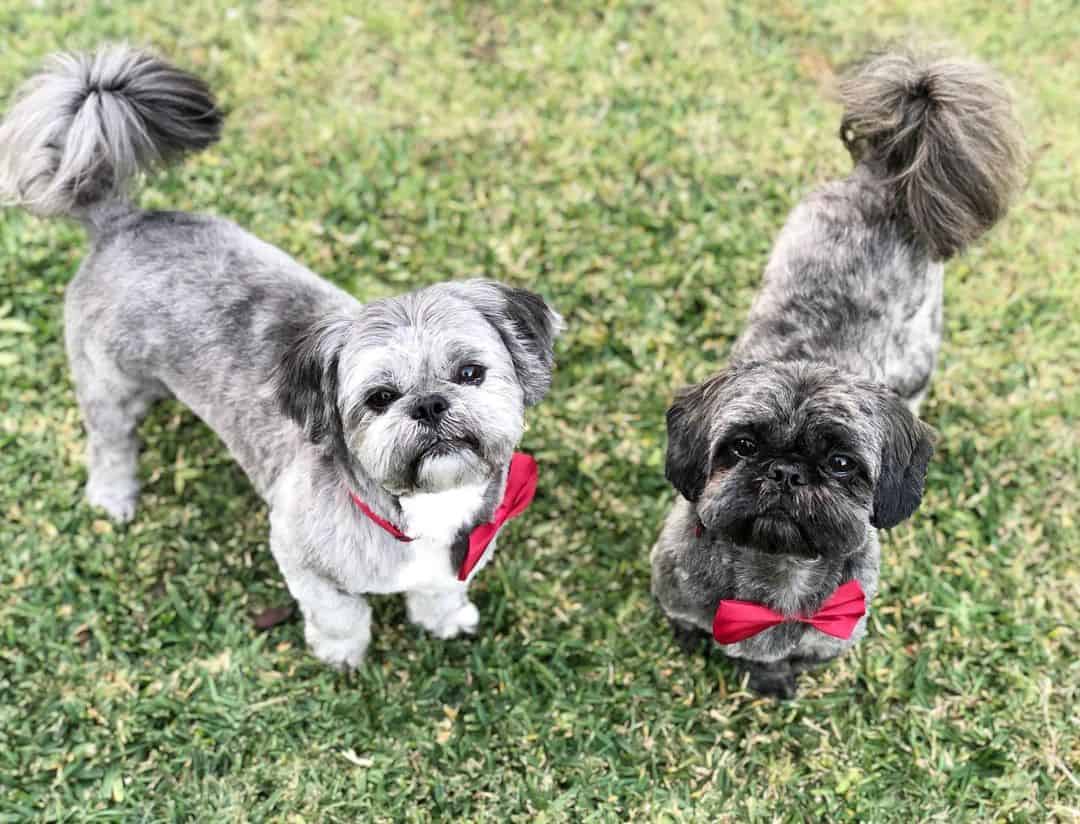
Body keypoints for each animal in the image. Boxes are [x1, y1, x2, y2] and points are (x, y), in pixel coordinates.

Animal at [4, 46, 565, 669]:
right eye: (379, 399)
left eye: (470, 373)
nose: (430, 406)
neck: (424, 512)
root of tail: (122, 221)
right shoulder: (299, 554)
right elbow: (341, 612)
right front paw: (342, 654)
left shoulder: (458, 554)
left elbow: (440, 589)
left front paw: (443, 619)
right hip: (109, 385)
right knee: (109, 442)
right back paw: (113, 495)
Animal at [652, 48, 1023, 699]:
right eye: (742, 447)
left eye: (843, 463)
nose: (785, 472)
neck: (775, 572)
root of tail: (888, 176)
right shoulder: (677, 596)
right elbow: (691, 625)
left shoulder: (831, 635)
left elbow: (788, 658)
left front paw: (772, 677)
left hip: (919, 355)